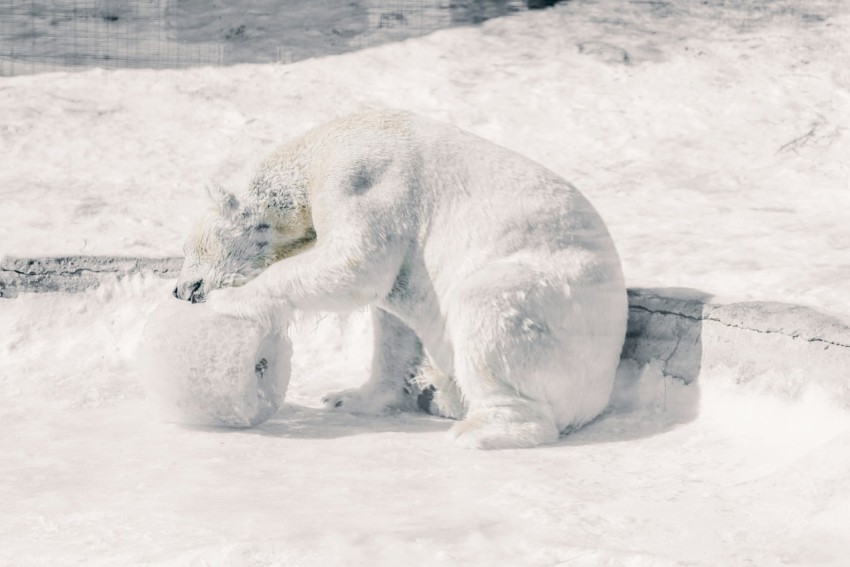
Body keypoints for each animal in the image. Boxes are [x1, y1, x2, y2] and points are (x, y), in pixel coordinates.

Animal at [174, 110, 628, 449]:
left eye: (191, 248)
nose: (181, 290)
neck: (318, 151)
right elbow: (393, 322)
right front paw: (347, 397)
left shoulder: (362, 181)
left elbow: (355, 262)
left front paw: (232, 300)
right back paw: (442, 397)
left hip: (548, 303)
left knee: (486, 311)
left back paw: (477, 429)